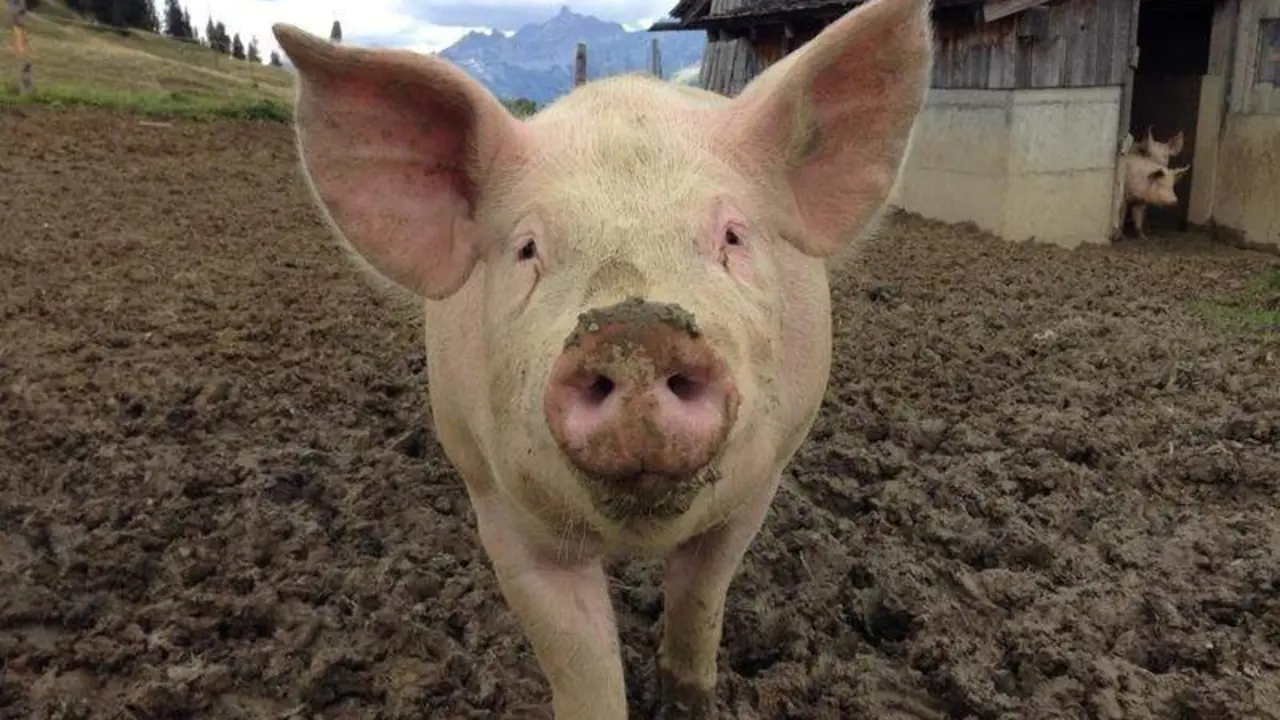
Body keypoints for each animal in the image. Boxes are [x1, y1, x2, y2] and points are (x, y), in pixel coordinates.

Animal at [269, 0, 933, 715]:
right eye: (528, 248)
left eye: (732, 235)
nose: (636, 330)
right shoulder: (504, 512)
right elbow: (580, 663)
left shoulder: (759, 483)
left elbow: (700, 600)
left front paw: (686, 699)